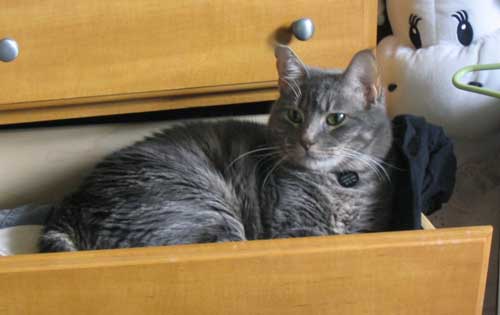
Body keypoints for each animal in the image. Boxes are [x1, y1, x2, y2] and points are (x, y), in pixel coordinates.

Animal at [39, 45, 392, 253]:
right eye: (295, 115)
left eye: (335, 119)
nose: (306, 140)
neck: (341, 185)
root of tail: (76, 203)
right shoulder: (297, 228)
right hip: (207, 213)